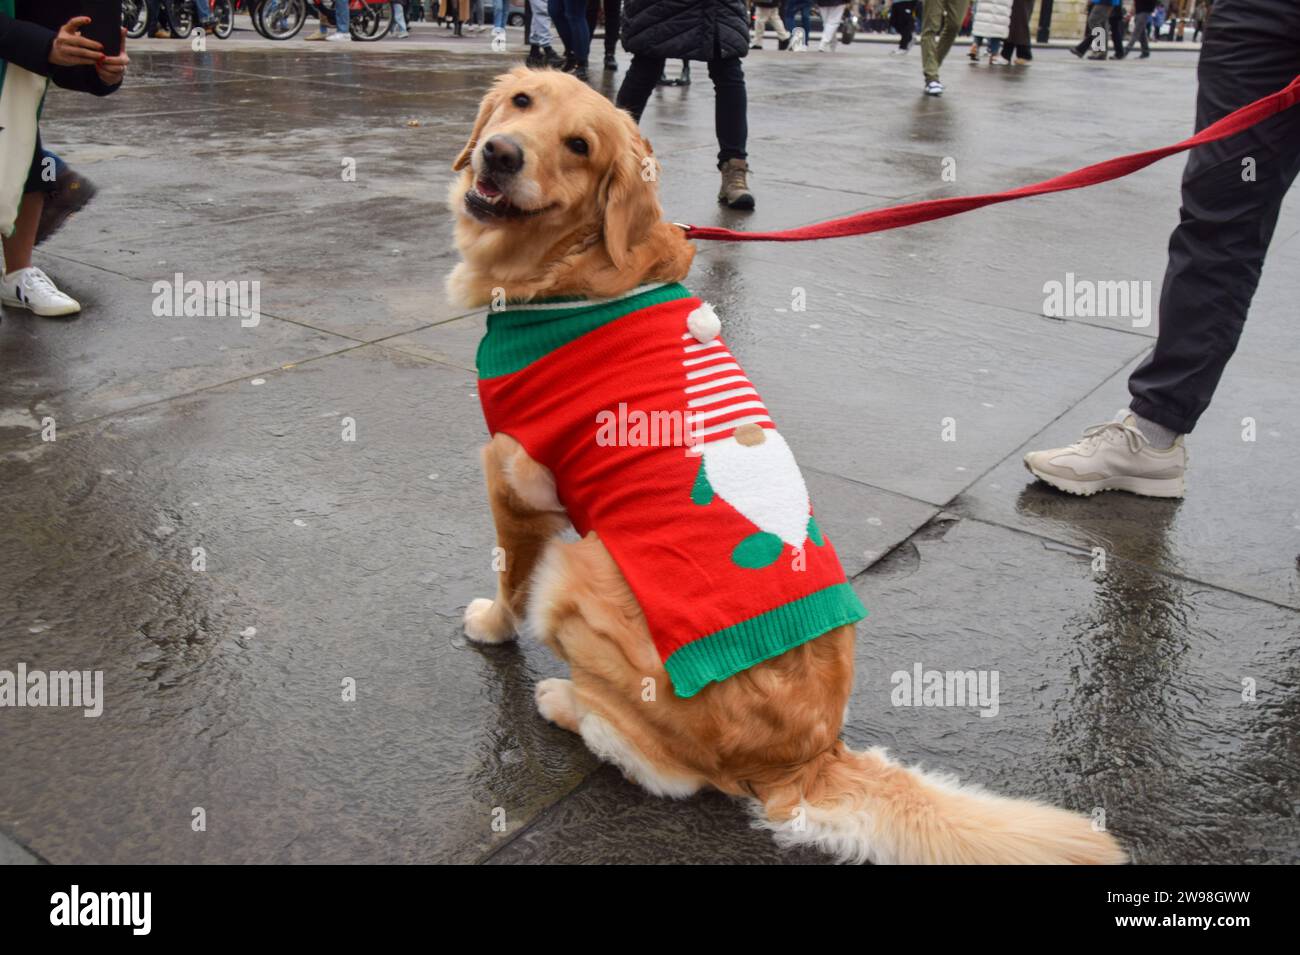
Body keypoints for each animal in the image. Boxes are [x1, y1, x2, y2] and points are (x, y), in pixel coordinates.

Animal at [447, 63, 1128, 862]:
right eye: (522, 103)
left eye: (580, 146)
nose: (500, 155)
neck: (578, 269)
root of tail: (812, 755)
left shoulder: (514, 480)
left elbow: (509, 576)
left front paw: (492, 624)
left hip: (580, 569)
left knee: (667, 769)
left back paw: (566, 701)